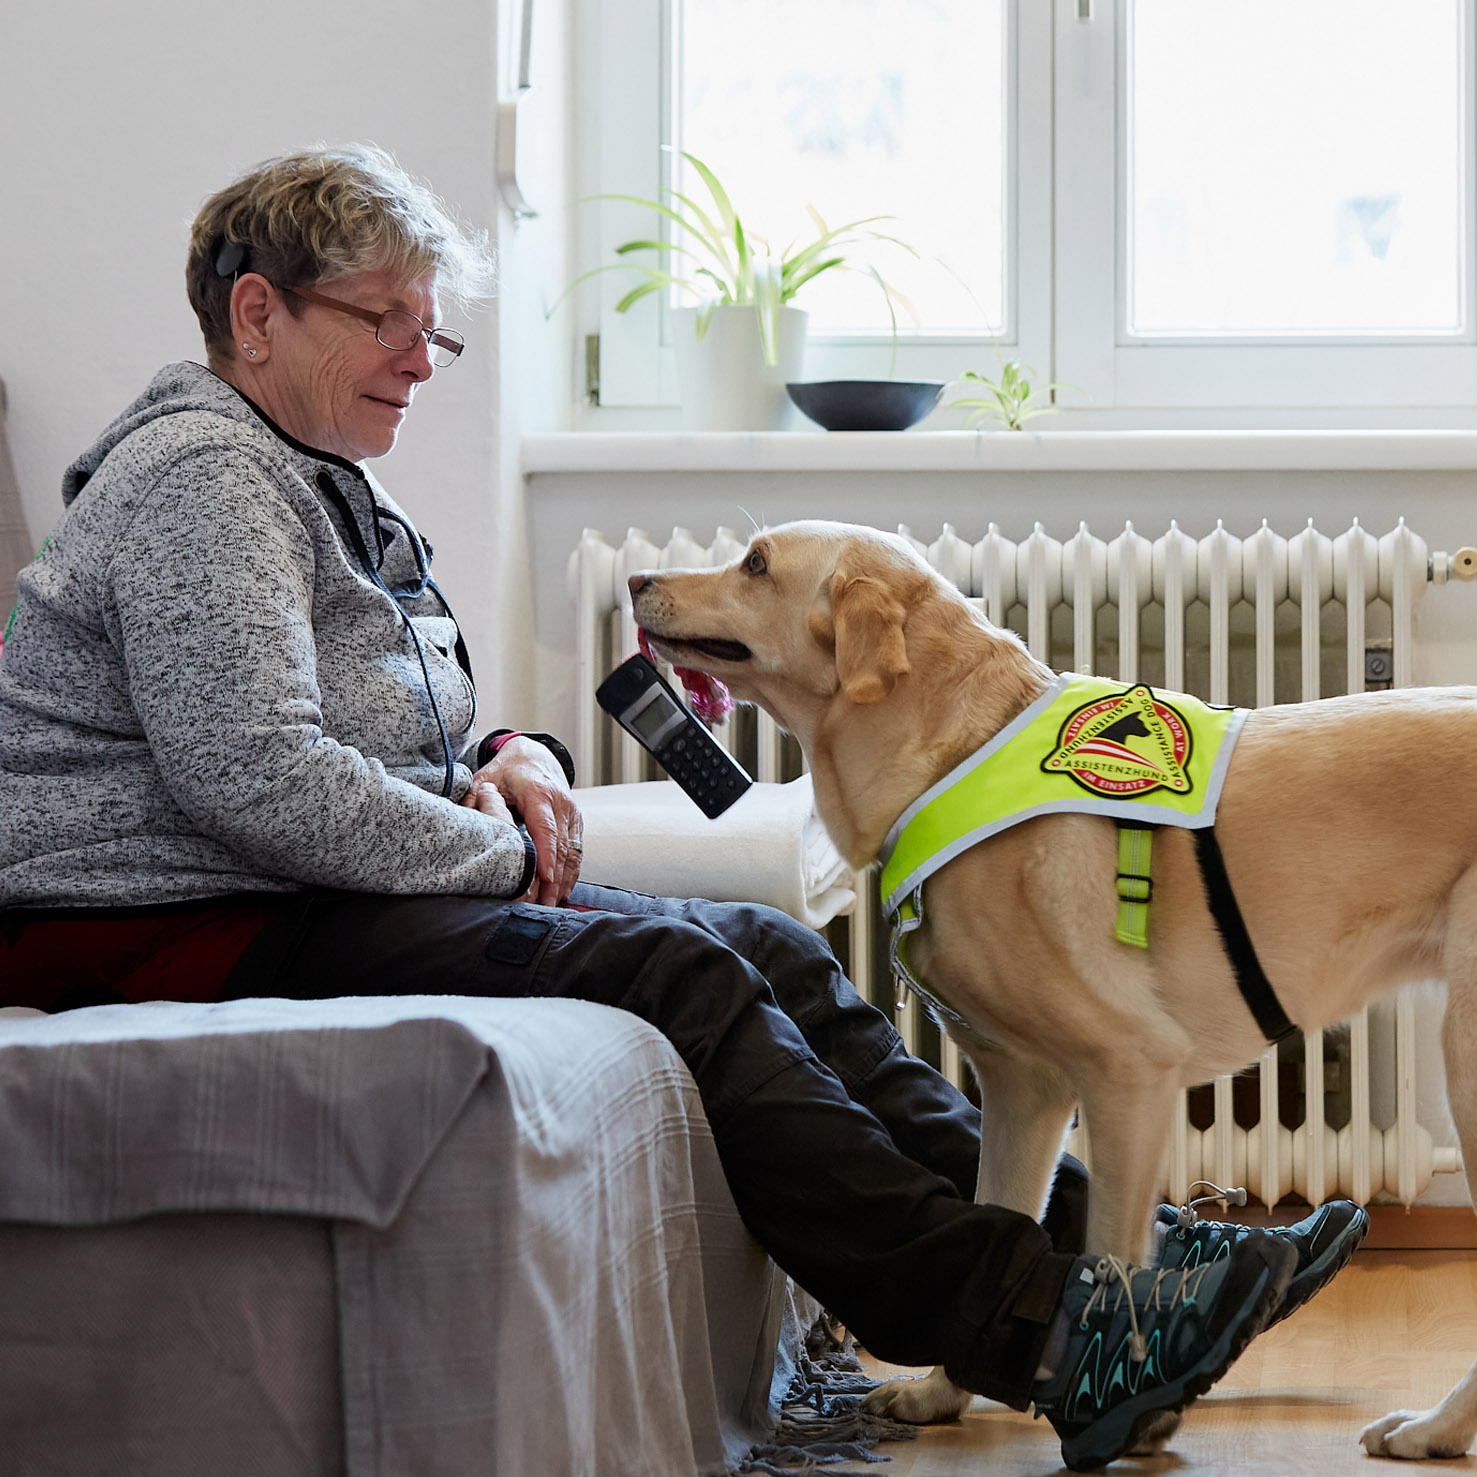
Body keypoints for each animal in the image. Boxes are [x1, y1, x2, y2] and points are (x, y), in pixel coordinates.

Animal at [632, 516, 1477, 1453]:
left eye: (754, 564)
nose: (635, 580)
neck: (951, 752)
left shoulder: (1128, 1074)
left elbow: (1108, 1248)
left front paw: (1119, 1396)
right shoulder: (1023, 1090)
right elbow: (999, 1210)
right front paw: (942, 1393)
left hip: (1464, 1058)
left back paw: (1433, 1428)